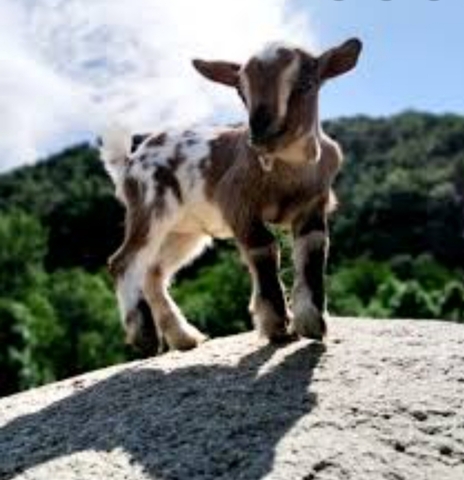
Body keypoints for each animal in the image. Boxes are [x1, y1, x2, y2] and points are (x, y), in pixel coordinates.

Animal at [100, 36, 362, 352]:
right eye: (240, 90)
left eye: (306, 83)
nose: (261, 134)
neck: (288, 170)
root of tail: (129, 161)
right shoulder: (237, 202)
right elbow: (263, 247)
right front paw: (277, 327)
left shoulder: (313, 205)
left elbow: (313, 250)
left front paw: (311, 323)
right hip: (151, 206)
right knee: (124, 261)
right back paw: (145, 338)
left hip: (184, 232)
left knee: (153, 272)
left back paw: (185, 337)